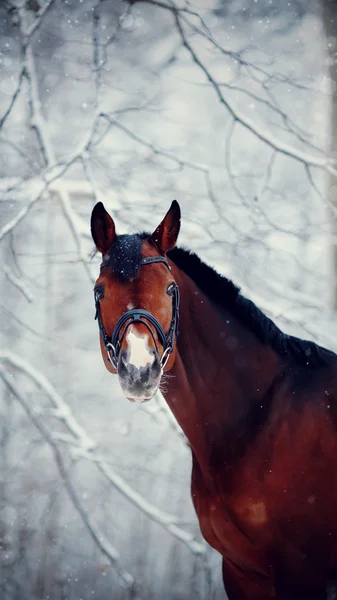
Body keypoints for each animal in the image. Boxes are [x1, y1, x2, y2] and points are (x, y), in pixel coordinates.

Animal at [90, 199, 337, 596]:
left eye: (170, 289)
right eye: (100, 291)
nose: (139, 369)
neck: (257, 417)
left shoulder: (301, 572)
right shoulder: (241, 573)